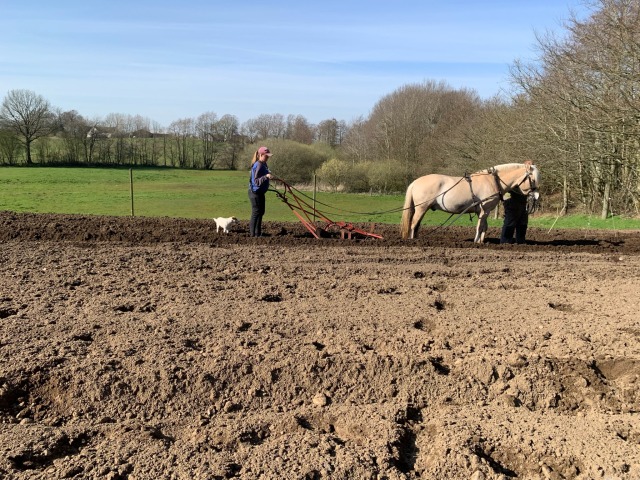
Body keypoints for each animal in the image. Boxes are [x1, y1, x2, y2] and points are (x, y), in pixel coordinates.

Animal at [400, 162, 540, 244]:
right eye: (532, 179)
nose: (537, 196)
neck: (492, 181)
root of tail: (415, 182)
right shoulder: (484, 210)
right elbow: (480, 226)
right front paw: (476, 241)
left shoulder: (483, 211)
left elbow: (485, 226)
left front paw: (481, 242)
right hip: (421, 208)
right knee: (413, 224)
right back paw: (412, 240)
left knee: (416, 224)